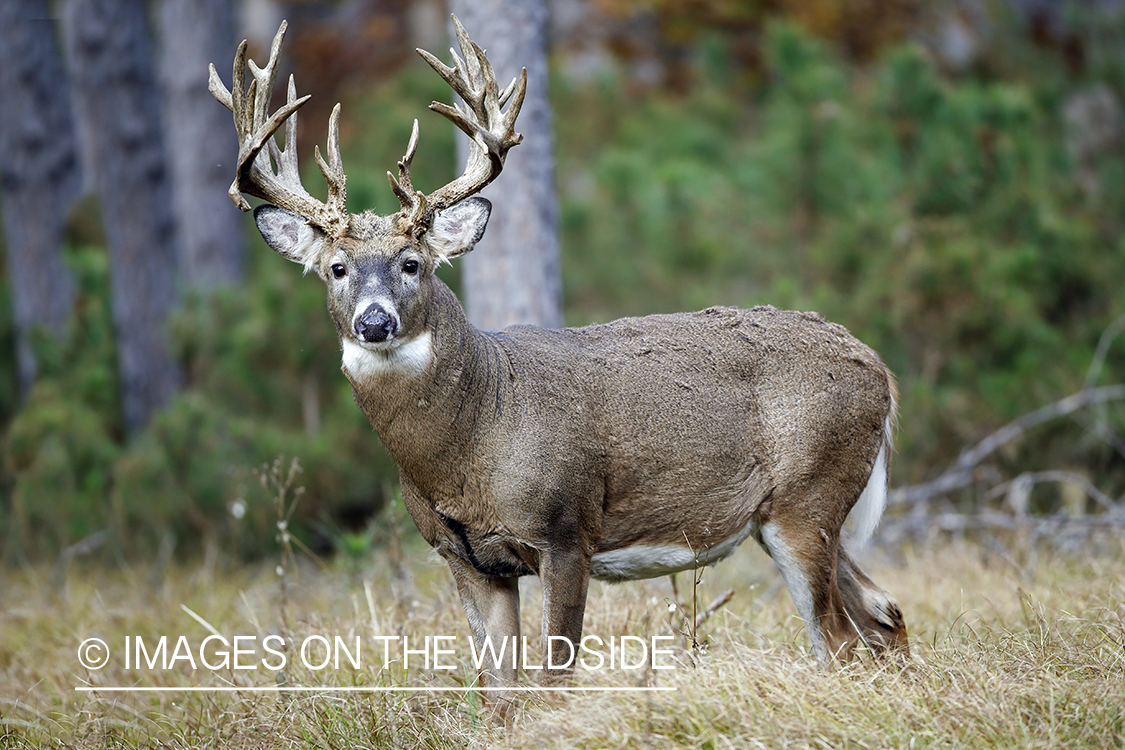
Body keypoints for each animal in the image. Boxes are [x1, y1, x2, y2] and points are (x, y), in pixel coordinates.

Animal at [212, 14, 913, 710]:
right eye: (337, 268)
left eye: (413, 263)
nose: (375, 321)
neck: (471, 441)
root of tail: (879, 369)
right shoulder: (464, 557)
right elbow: (498, 695)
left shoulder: (565, 529)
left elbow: (554, 682)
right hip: (786, 516)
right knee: (885, 614)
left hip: (809, 494)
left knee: (839, 640)